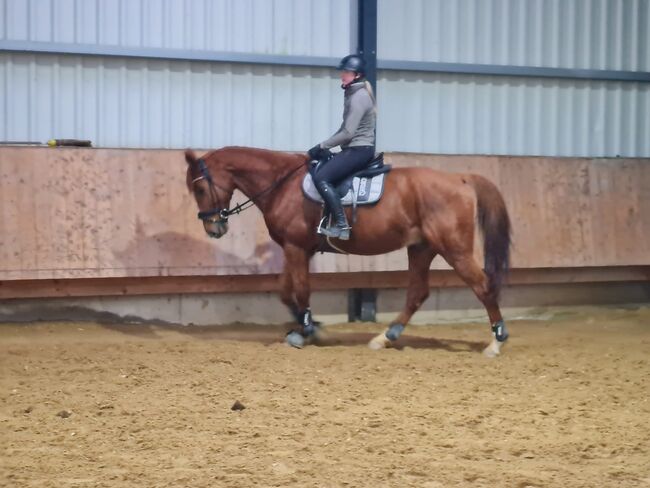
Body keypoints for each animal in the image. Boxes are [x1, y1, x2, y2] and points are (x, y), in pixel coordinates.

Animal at [184, 145, 512, 354]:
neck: (282, 184)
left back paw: (496, 341)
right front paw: (309, 325)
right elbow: (285, 291)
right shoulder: (298, 249)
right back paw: (385, 337)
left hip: (454, 249)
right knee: (417, 293)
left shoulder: (296, 247)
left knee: (483, 286)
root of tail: (460, 178)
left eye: (199, 188)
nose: (214, 228)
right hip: (421, 249)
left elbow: (300, 289)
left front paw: (307, 331)